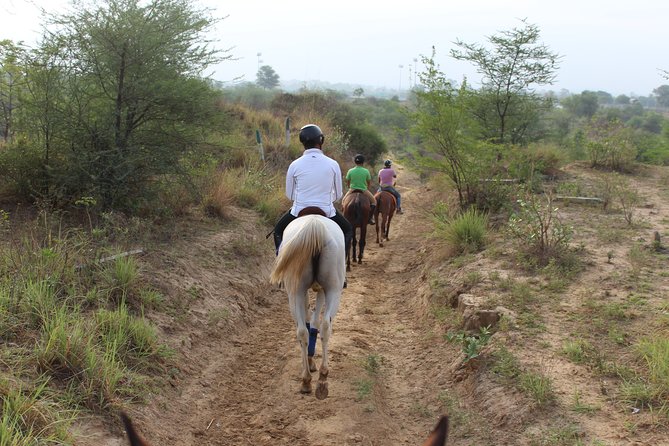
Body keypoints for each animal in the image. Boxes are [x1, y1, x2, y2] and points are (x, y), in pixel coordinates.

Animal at [269, 214, 345, 399]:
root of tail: (315, 224)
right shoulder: (321, 290)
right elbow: (314, 319)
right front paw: (311, 362)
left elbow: (310, 319)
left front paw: (310, 362)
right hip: (332, 289)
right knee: (324, 326)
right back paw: (320, 380)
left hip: (296, 291)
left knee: (303, 331)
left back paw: (309, 381)